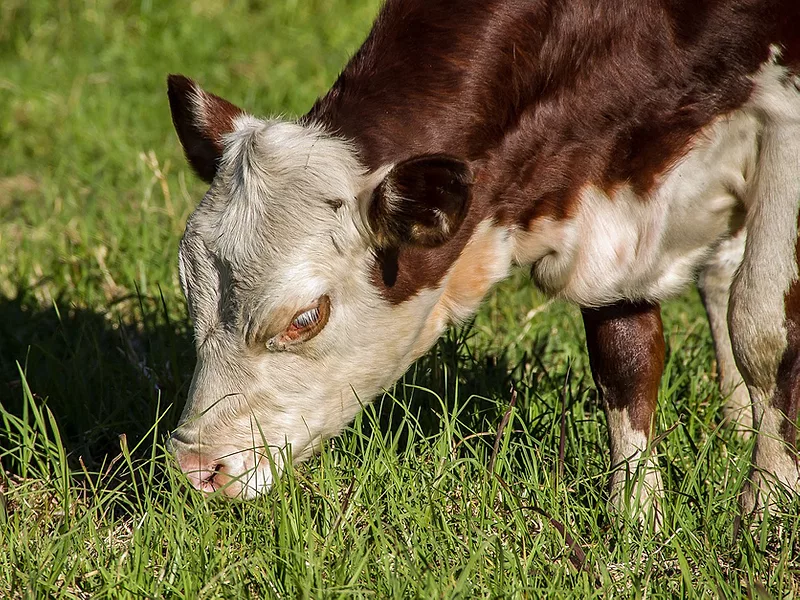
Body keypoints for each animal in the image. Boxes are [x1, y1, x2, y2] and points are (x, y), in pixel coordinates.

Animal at [166, 0, 800, 523]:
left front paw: (768, 505)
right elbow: (626, 357)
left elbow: (762, 329)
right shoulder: (607, 208)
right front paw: (635, 521)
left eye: (305, 318)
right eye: (189, 292)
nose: (197, 467)